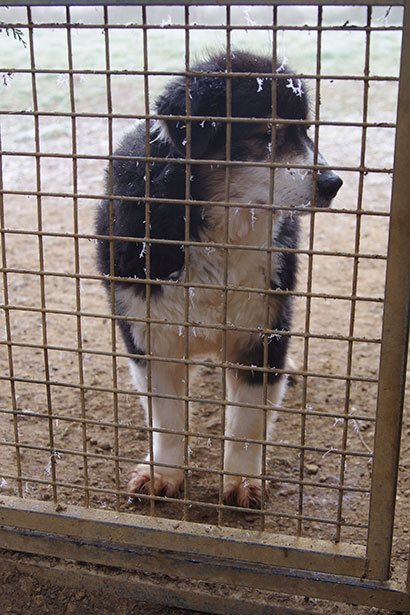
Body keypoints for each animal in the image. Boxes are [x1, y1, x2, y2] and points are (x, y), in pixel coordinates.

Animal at [96, 51, 342, 509]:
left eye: (305, 130)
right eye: (267, 131)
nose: (334, 183)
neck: (217, 235)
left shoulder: (262, 334)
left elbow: (247, 423)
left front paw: (242, 481)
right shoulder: (150, 333)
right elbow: (168, 419)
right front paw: (164, 474)